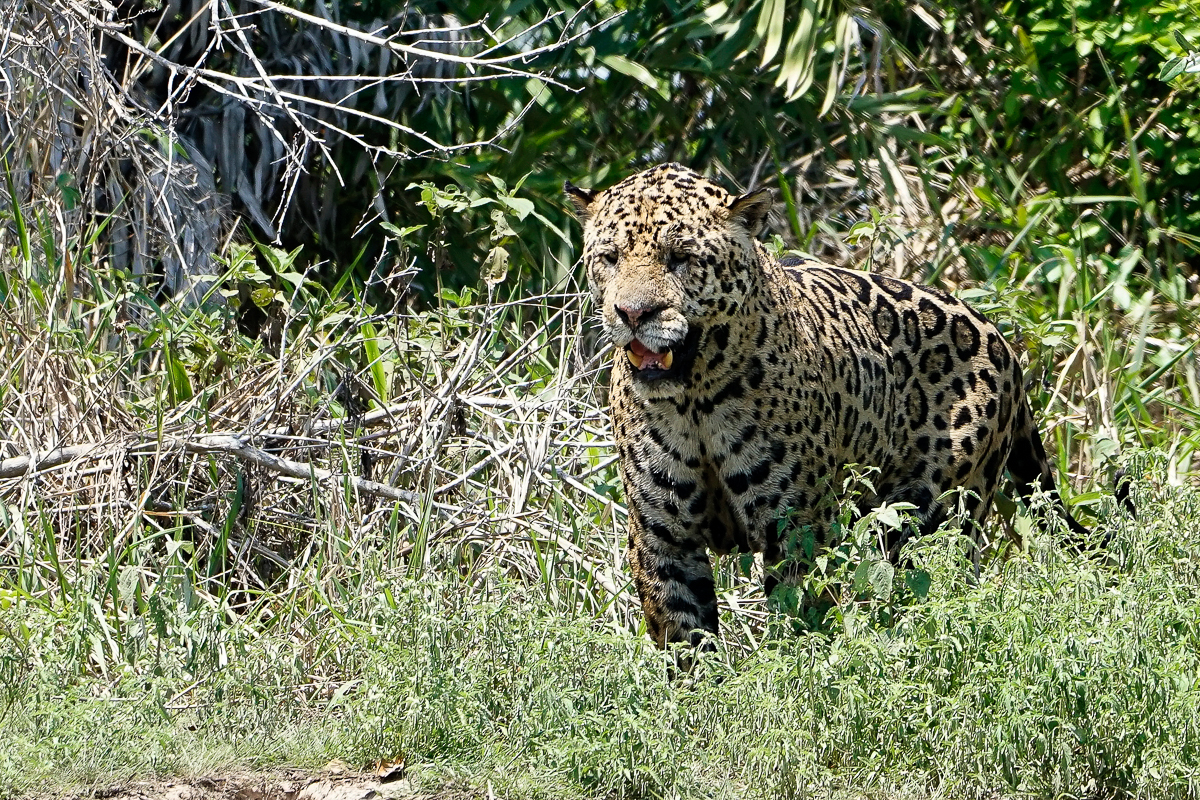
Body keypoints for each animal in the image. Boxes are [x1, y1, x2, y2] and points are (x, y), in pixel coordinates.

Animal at [565, 162, 1098, 649]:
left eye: (680, 257)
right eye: (610, 257)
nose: (633, 313)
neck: (695, 398)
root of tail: (1002, 342)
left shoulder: (797, 528)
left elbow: (799, 620)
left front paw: (791, 679)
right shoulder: (663, 537)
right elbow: (685, 639)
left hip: (929, 517)